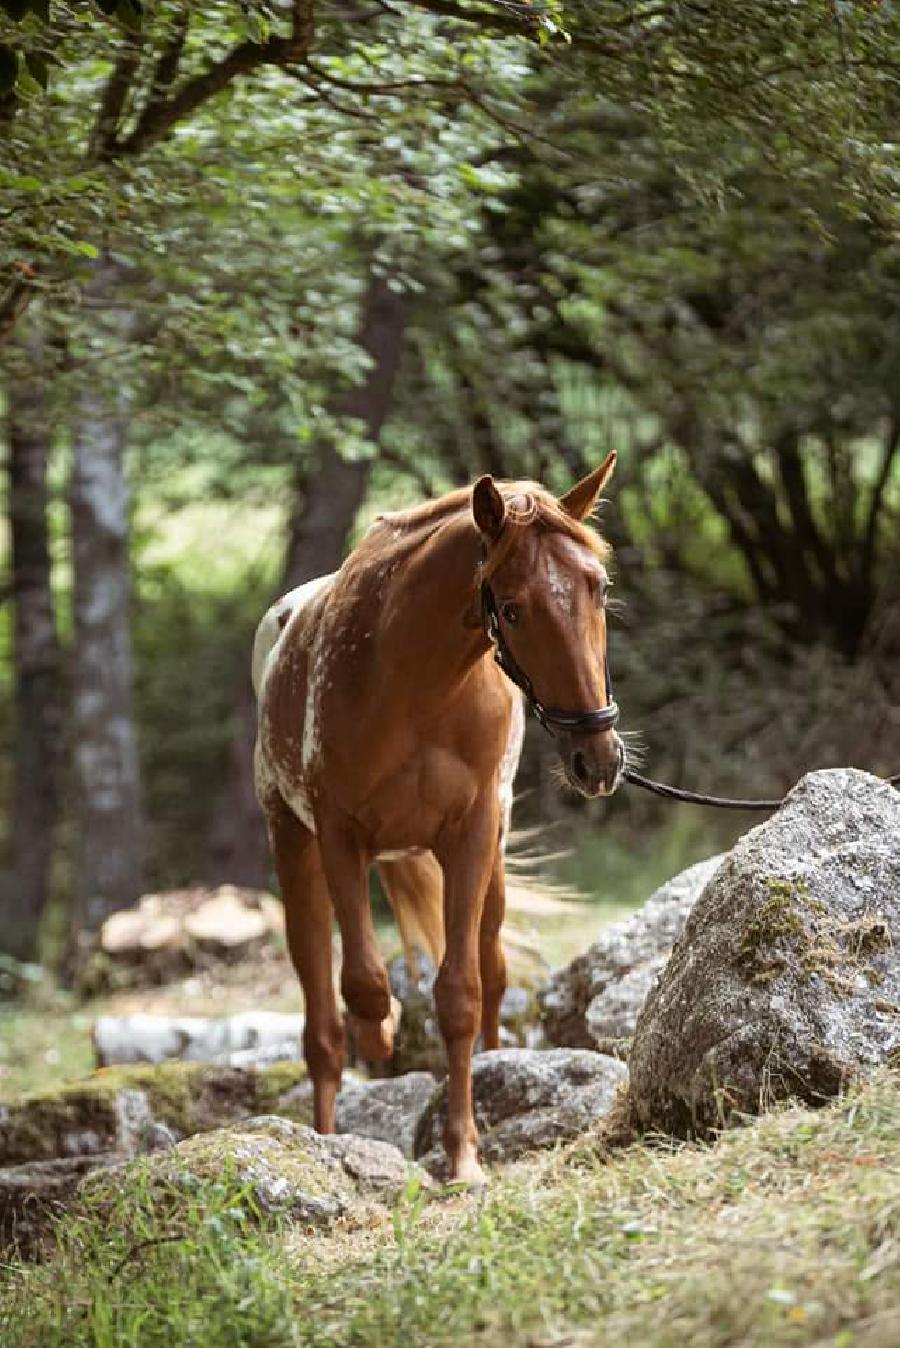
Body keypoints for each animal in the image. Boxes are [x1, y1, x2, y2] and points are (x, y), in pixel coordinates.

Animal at [249, 452, 622, 1180]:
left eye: (597, 587)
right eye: (513, 608)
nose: (598, 757)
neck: (413, 683)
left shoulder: (471, 837)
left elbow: (462, 995)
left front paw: (465, 1158)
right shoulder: (339, 837)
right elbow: (363, 986)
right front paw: (381, 1034)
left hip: (491, 868)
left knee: (494, 972)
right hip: (295, 851)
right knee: (321, 1026)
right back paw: (329, 1135)